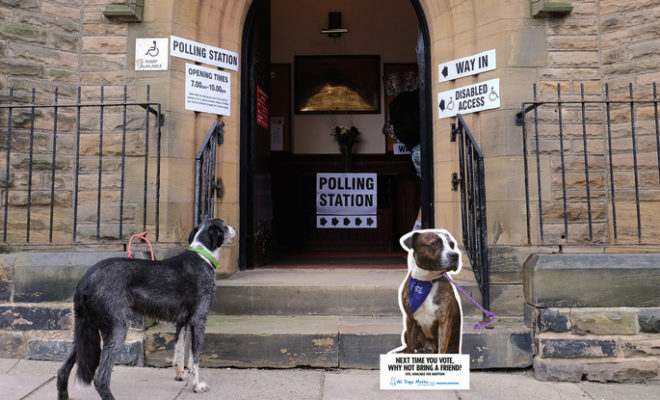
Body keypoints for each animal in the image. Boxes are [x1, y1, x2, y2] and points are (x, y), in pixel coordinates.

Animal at [57, 219, 235, 400]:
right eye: (224, 225)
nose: (234, 228)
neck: (203, 255)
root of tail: (85, 280)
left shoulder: (181, 322)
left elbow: (179, 350)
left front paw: (180, 375)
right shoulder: (199, 320)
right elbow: (195, 359)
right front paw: (197, 386)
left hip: (83, 330)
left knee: (62, 371)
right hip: (117, 329)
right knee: (101, 379)